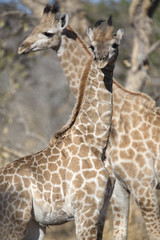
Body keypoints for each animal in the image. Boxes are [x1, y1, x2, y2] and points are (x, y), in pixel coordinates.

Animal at [0, 3, 124, 240]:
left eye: (115, 44)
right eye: (92, 46)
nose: (102, 60)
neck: (95, 143)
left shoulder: (101, 210)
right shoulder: (85, 210)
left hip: (34, 225)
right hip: (14, 220)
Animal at [18, 2, 160, 240]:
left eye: (48, 33)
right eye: (34, 27)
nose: (22, 47)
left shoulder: (142, 183)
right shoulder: (119, 186)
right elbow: (118, 233)